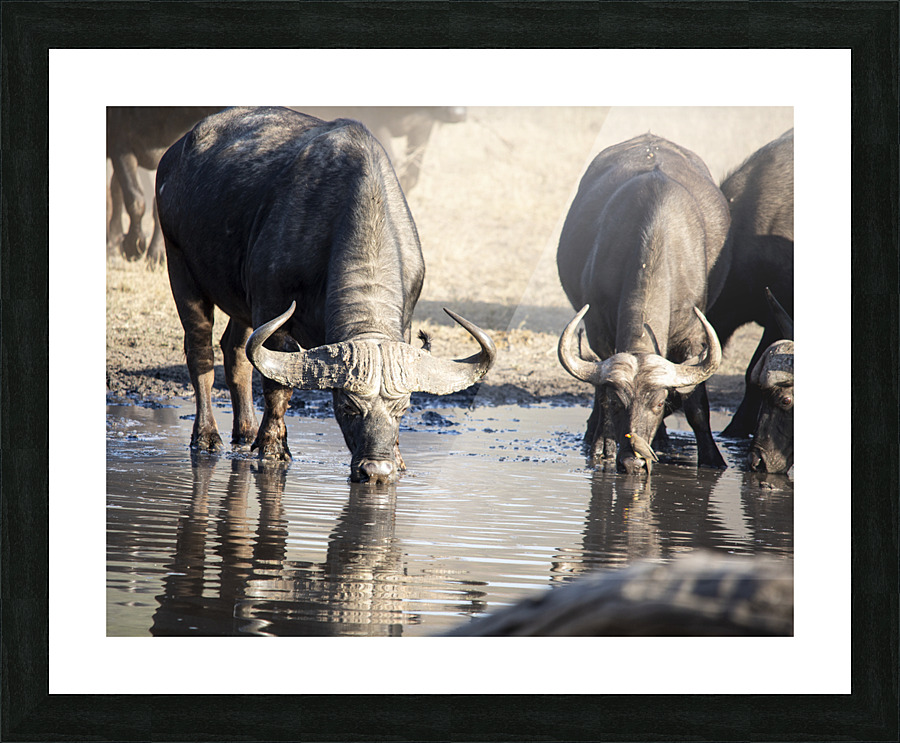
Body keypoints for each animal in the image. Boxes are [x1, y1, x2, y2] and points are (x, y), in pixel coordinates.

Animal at [156, 107, 495, 484]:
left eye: (402, 408)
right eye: (348, 406)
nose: (376, 469)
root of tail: (175, 154)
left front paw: (398, 460)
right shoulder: (272, 310)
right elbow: (277, 386)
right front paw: (273, 448)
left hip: (240, 301)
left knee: (235, 351)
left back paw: (245, 433)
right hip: (179, 264)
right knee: (200, 350)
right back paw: (206, 436)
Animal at [557, 133, 731, 473]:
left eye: (659, 403)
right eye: (618, 402)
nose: (632, 462)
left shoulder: (693, 335)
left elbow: (696, 404)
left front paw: (712, 458)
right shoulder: (597, 328)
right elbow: (600, 390)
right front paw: (603, 446)